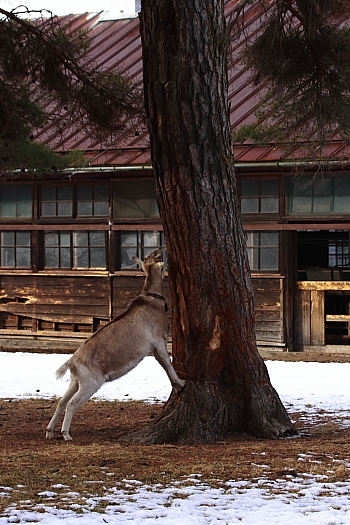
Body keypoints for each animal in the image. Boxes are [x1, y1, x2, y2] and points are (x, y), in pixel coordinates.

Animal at [45, 248, 186, 440]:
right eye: (156, 257)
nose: (159, 249)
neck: (152, 303)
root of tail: (72, 362)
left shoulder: (154, 348)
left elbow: (164, 365)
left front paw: (177, 385)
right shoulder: (158, 341)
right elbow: (167, 363)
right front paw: (181, 383)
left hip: (75, 381)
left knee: (61, 401)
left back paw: (49, 431)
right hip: (91, 382)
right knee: (71, 403)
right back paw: (65, 434)